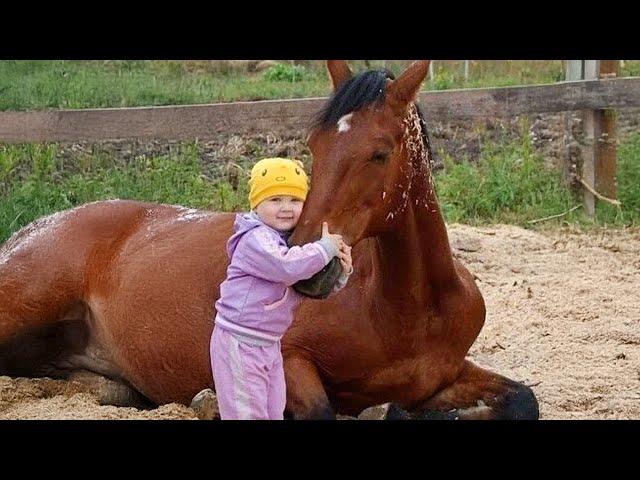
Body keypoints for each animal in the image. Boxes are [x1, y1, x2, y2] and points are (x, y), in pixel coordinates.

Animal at [0, 60, 539, 420]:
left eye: (381, 153)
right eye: (315, 145)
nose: (313, 272)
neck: (408, 308)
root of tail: (29, 230)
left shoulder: (445, 374)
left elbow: (522, 399)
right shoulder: (287, 360)